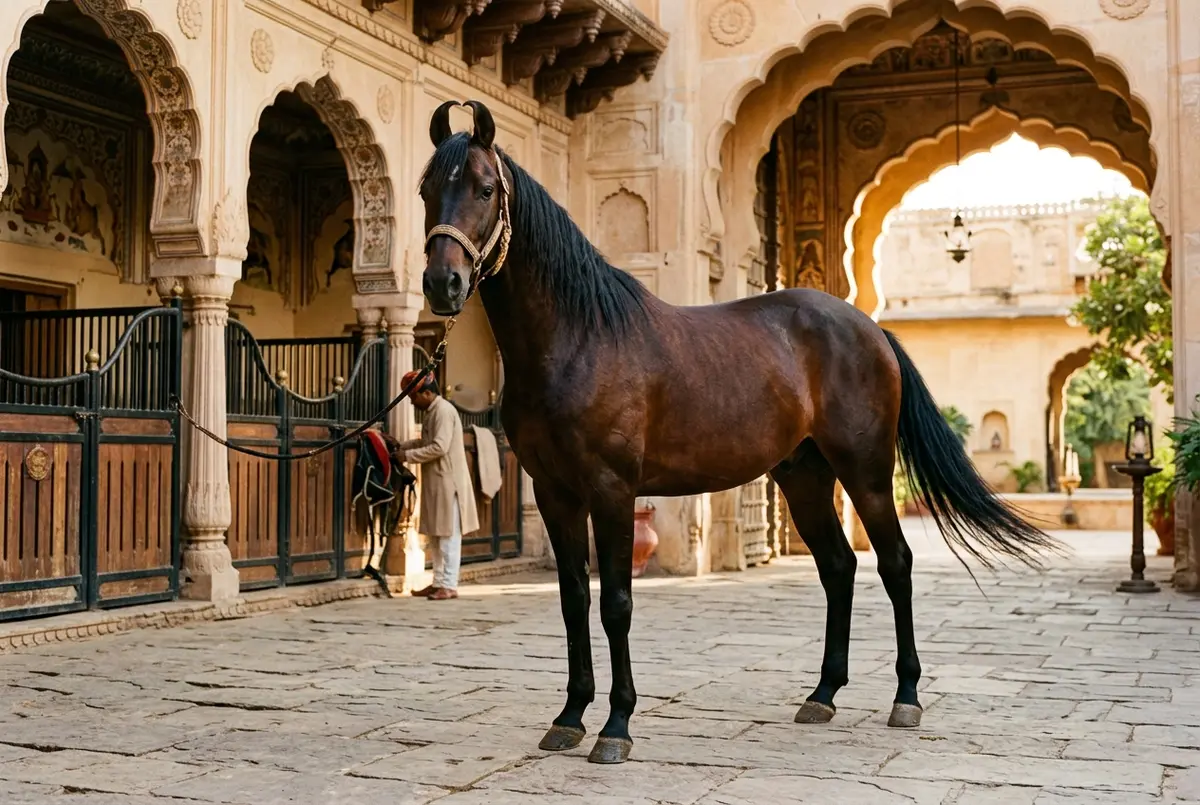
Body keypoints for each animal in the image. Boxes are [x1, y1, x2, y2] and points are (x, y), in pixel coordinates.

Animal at [416, 99, 1062, 765]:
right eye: (426, 189)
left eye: (485, 188)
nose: (443, 284)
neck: (580, 336)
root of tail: (871, 329)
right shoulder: (554, 492)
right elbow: (574, 600)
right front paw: (570, 716)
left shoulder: (612, 490)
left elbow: (616, 603)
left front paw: (616, 726)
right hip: (804, 476)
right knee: (838, 567)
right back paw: (823, 694)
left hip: (865, 472)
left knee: (895, 563)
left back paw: (905, 697)